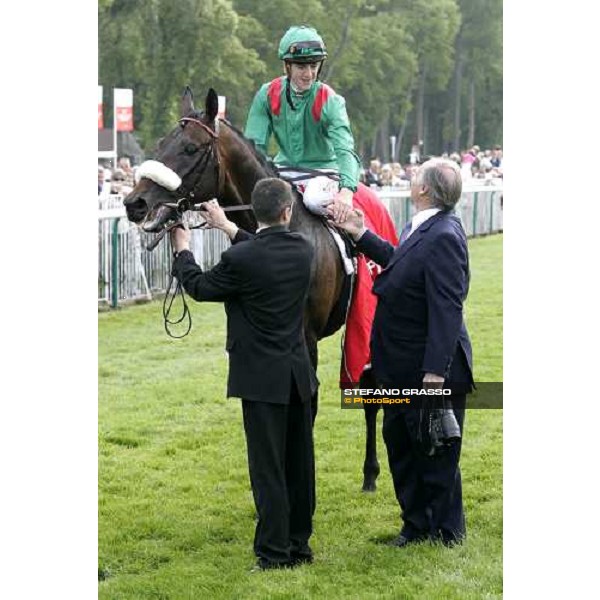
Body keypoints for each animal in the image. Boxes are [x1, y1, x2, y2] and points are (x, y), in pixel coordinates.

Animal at [124, 88, 382, 492]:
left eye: (190, 148)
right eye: (161, 143)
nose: (134, 203)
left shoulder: (304, 338)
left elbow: (305, 403)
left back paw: (370, 474)